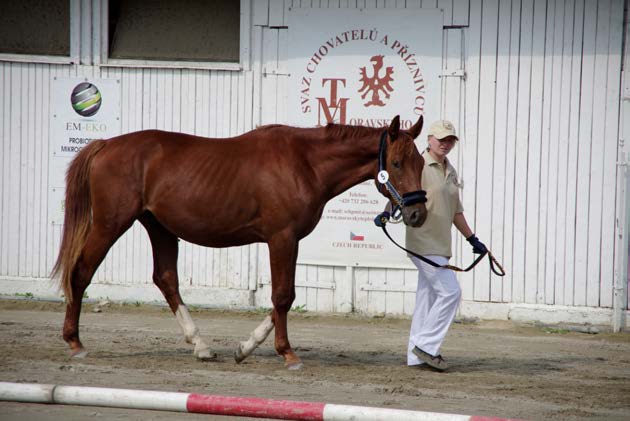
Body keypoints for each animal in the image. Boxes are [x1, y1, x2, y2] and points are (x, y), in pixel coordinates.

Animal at [51, 115, 430, 368]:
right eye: (396, 162)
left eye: (422, 161)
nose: (417, 214)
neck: (305, 163)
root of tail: (105, 145)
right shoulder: (282, 238)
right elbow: (283, 296)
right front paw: (287, 353)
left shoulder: (288, 241)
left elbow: (284, 299)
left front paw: (246, 347)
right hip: (110, 225)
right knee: (81, 273)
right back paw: (75, 342)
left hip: (159, 227)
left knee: (166, 279)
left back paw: (201, 345)